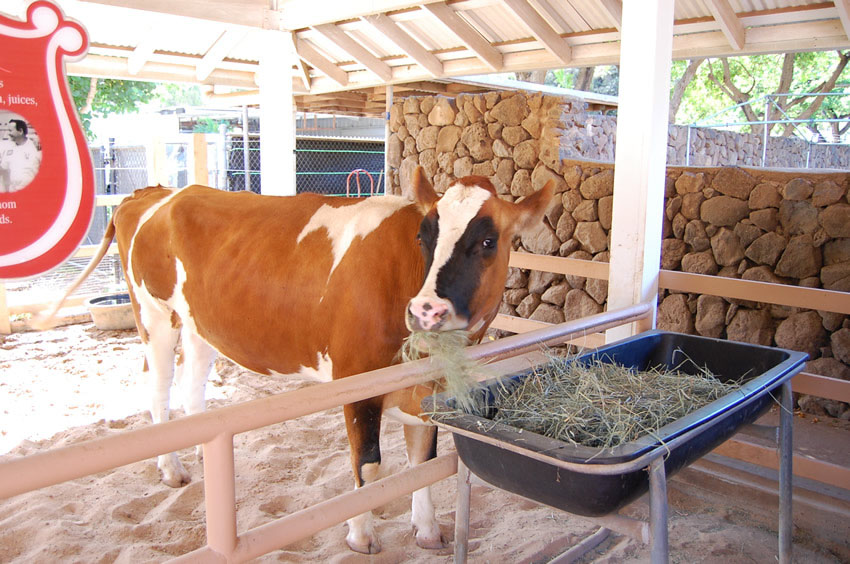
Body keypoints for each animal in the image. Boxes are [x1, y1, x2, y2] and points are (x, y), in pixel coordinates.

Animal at [38, 166, 554, 554]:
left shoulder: (427, 391)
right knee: (159, 387)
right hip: (154, 315)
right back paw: (170, 469)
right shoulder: (355, 381)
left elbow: (421, 460)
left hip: (202, 324)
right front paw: (361, 536)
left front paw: (427, 530)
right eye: (424, 235)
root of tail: (157, 192)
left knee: (192, 387)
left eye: (488, 242)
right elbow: (369, 466)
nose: (426, 310)